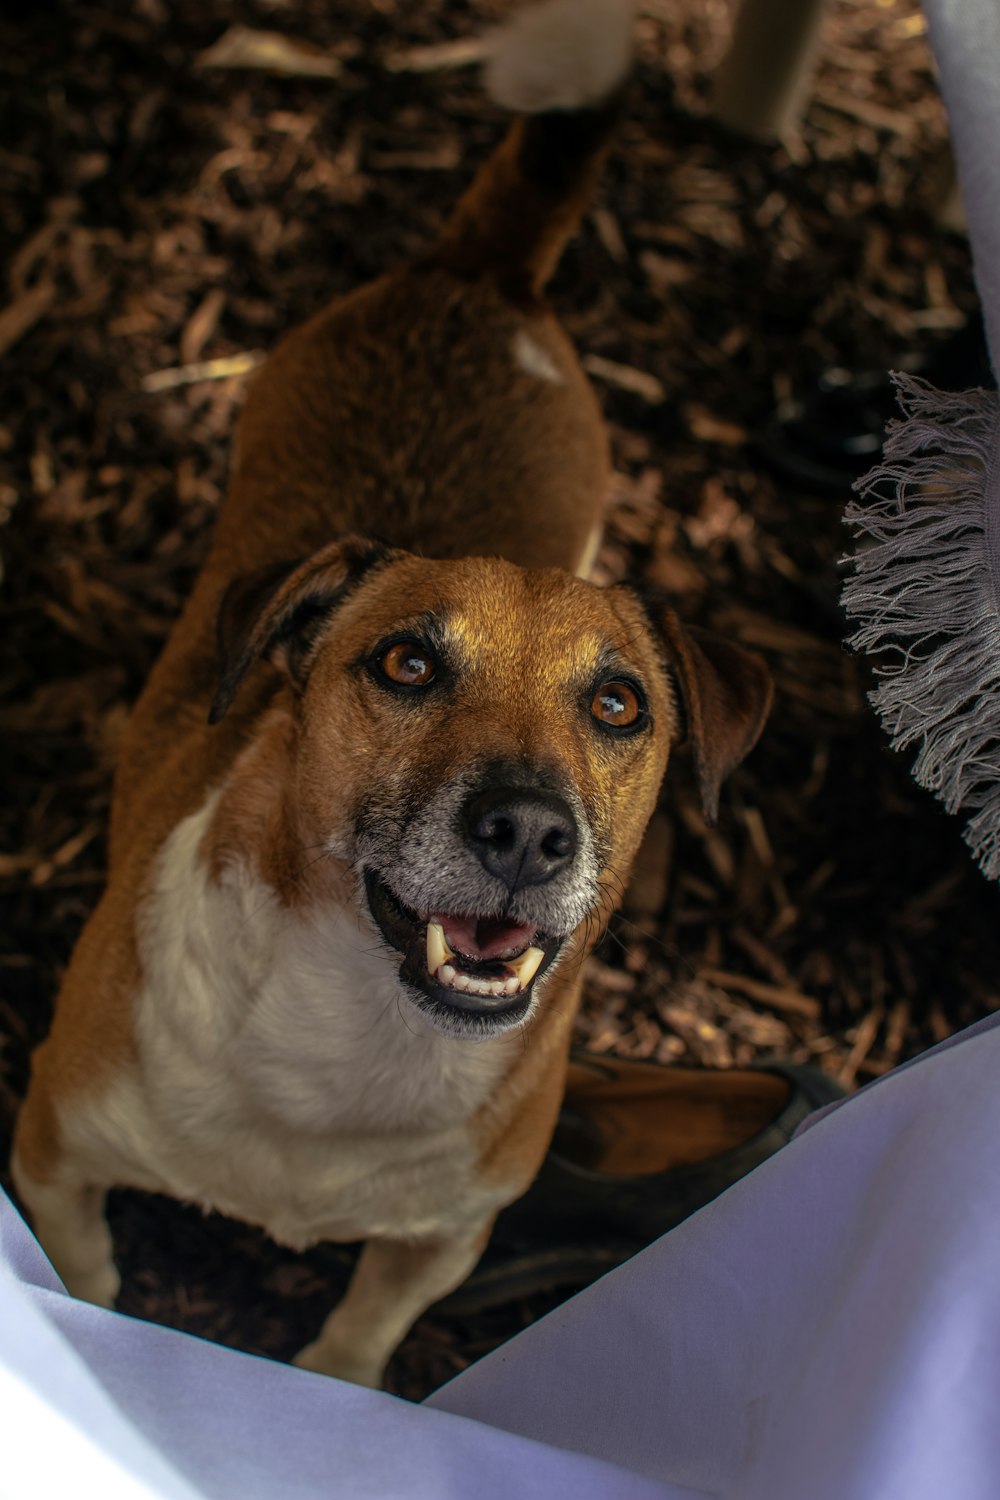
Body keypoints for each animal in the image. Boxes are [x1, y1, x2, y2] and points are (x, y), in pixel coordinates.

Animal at [11, 0, 773, 1386]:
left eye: (620, 706)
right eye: (406, 665)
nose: (527, 832)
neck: (362, 1034)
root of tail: (482, 275)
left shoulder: (444, 1238)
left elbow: (360, 1336)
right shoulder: (54, 1146)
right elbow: (88, 1281)